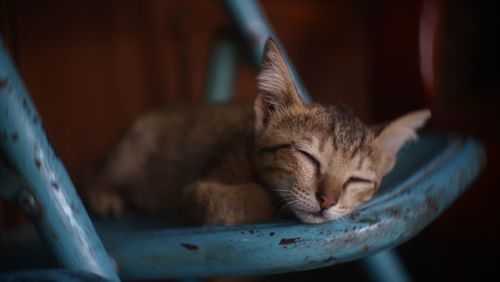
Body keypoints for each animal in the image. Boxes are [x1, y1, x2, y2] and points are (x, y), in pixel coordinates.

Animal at [85, 39, 430, 225]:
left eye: (357, 180)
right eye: (308, 157)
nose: (327, 201)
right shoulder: (195, 193)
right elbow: (254, 196)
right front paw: (277, 203)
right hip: (130, 150)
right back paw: (103, 194)